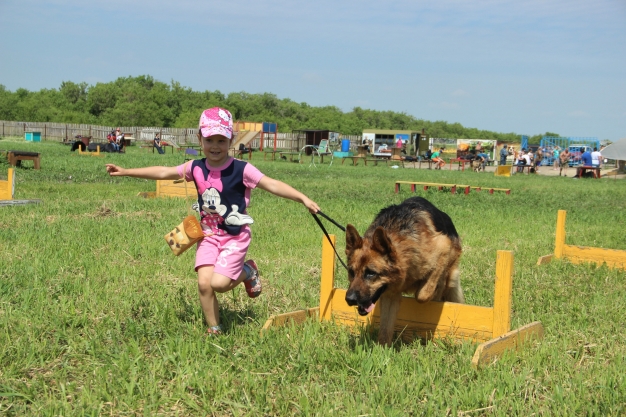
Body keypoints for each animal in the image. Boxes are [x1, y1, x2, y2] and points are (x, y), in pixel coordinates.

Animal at [342, 197, 464, 346]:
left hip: (453, 277)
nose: (350, 299)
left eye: (371, 273)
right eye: (351, 272)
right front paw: (382, 349)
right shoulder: (389, 295)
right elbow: (385, 328)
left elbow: (422, 295)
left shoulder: (443, 246)